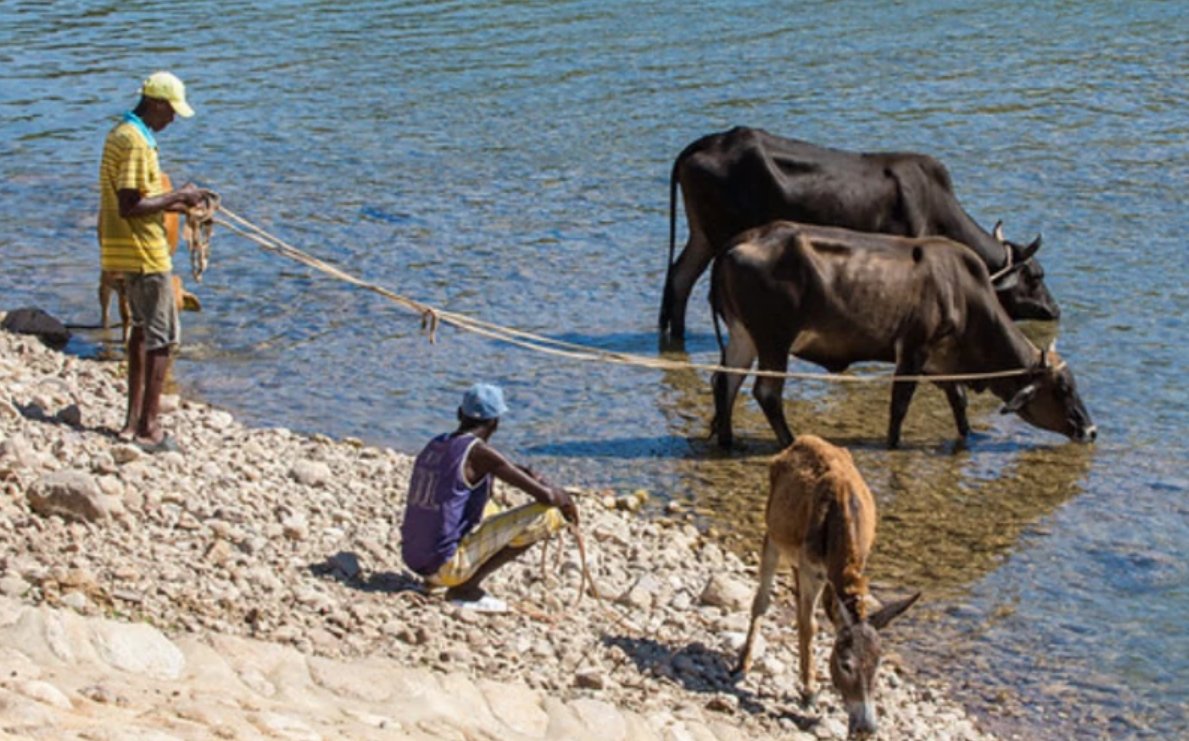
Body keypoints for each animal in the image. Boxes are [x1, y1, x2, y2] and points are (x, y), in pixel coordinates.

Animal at [661, 126, 1060, 340]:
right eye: (1036, 276)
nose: (1055, 309)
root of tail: (707, 142)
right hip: (720, 235)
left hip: (702, 234)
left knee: (679, 278)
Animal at [703, 223, 1093, 449]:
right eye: (1062, 389)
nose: (1090, 431)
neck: (963, 292)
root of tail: (737, 243)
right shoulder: (913, 353)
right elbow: (900, 406)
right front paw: (893, 444)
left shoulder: (941, 363)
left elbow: (959, 401)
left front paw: (967, 436)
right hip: (774, 341)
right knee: (766, 392)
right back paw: (788, 441)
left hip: (744, 338)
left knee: (725, 381)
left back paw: (726, 440)